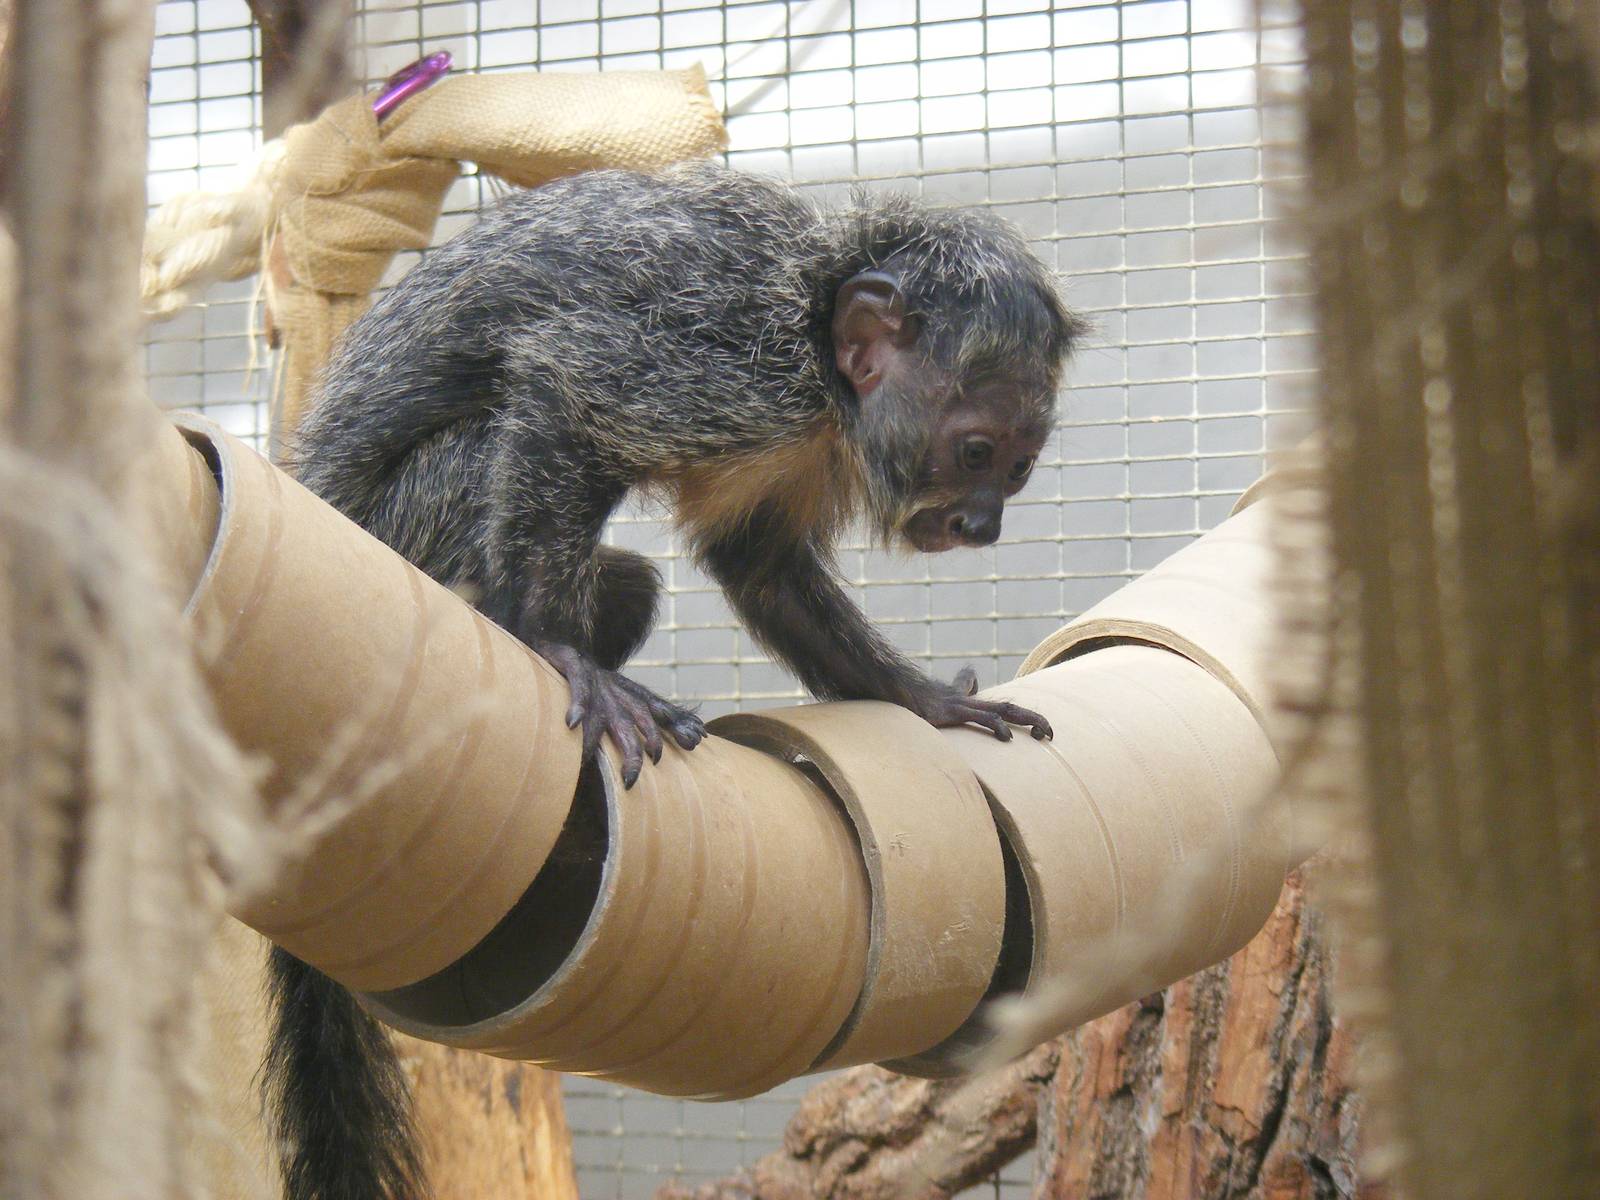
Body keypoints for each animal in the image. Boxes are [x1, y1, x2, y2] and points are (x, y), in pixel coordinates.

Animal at [264, 162, 1085, 1200]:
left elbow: (762, 566)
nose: (982, 522)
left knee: (629, 586)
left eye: (1017, 469)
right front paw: (558, 649)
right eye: (974, 452)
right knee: (494, 437)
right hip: (404, 524)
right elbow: (564, 386)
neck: (816, 327)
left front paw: (927, 700)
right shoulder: (729, 368)